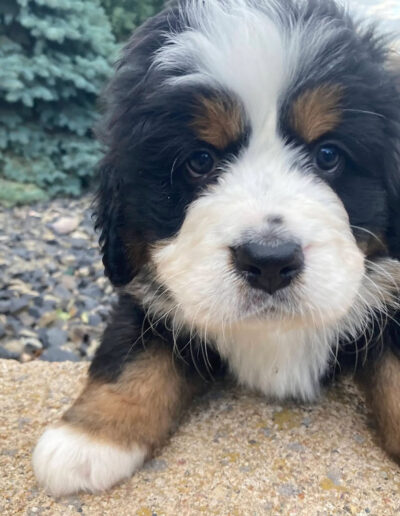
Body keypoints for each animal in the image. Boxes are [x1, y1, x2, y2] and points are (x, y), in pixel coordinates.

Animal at [32, 1, 400, 500]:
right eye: (200, 160)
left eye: (328, 155)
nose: (269, 262)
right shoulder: (146, 290)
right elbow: (130, 353)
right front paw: (87, 439)